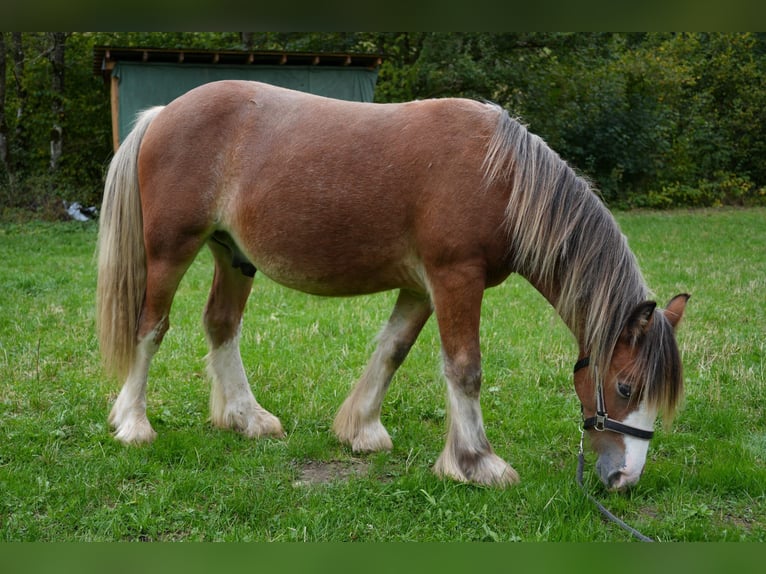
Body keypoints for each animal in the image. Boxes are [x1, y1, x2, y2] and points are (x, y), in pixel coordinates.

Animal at [96, 81, 688, 492]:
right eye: (627, 388)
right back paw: (133, 424)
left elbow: (392, 351)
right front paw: (477, 463)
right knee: (150, 328)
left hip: (233, 256)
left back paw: (246, 418)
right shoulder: (455, 277)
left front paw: (361, 430)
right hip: (170, 251)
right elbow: (465, 369)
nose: (624, 480)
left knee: (221, 325)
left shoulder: (422, 287)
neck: (501, 177)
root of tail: (162, 114)